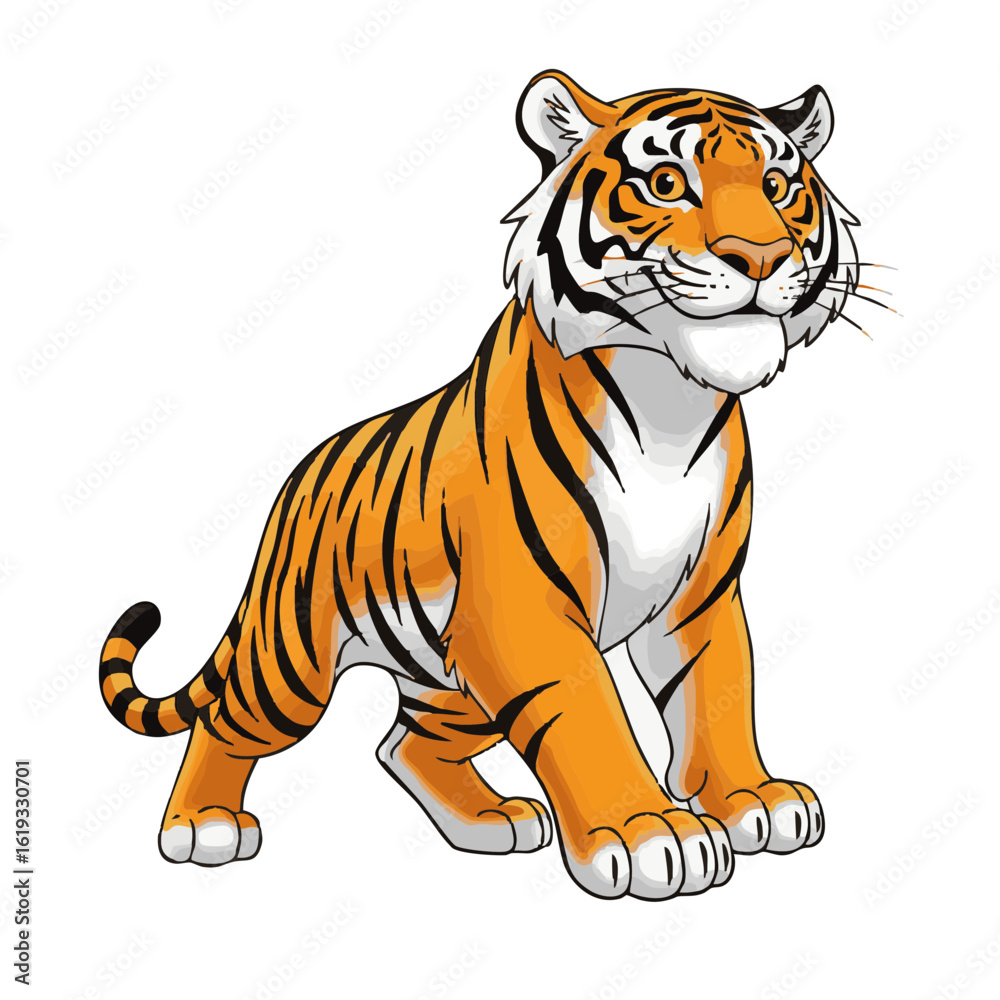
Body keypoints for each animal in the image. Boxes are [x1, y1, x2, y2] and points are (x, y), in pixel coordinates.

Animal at [100, 70, 863, 900]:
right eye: (666, 184)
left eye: (779, 187)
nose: (761, 256)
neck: (670, 400)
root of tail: (297, 480)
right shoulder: (523, 606)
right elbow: (588, 711)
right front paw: (648, 832)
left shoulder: (701, 595)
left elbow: (719, 695)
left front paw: (752, 798)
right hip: (293, 661)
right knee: (228, 722)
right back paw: (201, 826)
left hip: (453, 681)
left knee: (401, 743)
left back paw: (490, 822)